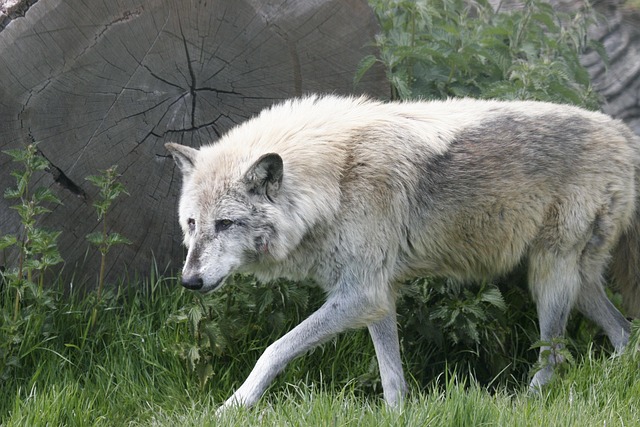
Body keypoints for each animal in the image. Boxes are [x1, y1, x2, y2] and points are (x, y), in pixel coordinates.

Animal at [165, 94, 640, 411]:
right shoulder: (376, 296)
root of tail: (623, 132)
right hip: (572, 282)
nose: (189, 281)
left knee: (554, 357)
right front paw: (397, 414)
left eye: (225, 224)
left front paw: (233, 406)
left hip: (550, 278)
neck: (335, 180)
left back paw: (527, 401)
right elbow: (391, 375)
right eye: (192, 224)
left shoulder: (361, 294)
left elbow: (274, 349)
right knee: (624, 333)